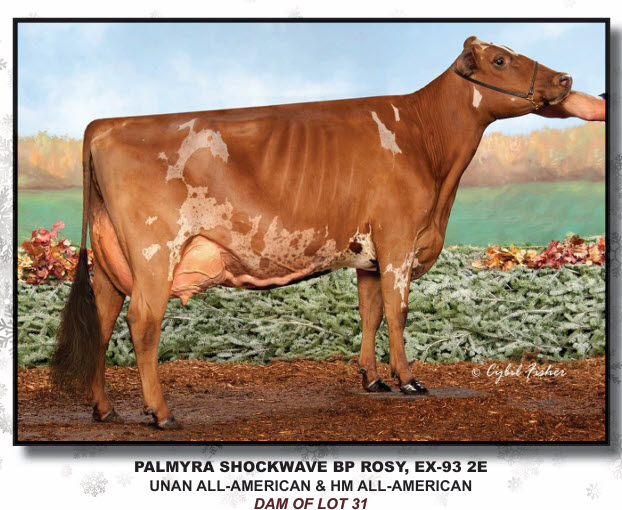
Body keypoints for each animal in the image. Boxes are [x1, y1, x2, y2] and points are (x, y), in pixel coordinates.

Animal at [52, 36, 574, 429]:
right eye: (501, 59)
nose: (565, 79)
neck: (426, 143)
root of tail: (106, 124)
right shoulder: (399, 239)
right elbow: (398, 313)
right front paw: (407, 379)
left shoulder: (370, 254)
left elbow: (371, 313)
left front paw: (372, 379)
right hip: (155, 251)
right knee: (142, 321)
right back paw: (160, 413)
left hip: (112, 260)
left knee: (103, 320)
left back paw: (104, 408)